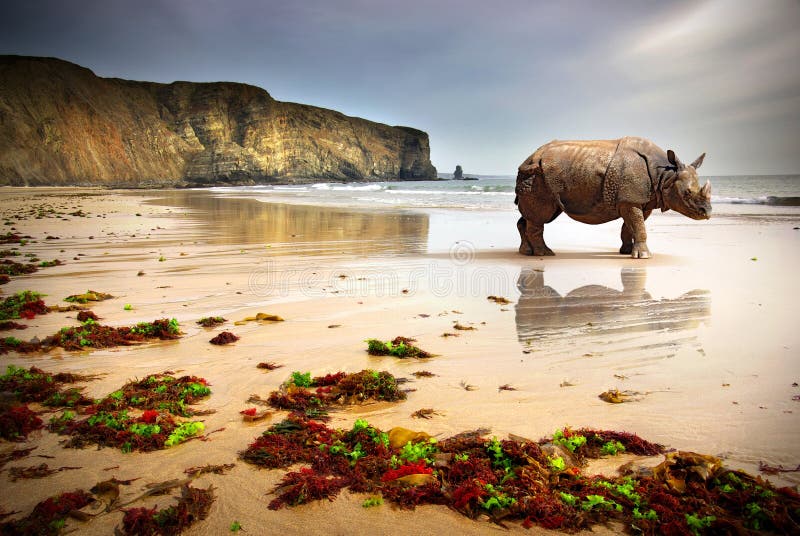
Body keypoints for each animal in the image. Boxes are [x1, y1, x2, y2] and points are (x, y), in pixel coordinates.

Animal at [515, 137, 711, 258]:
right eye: (687, 193)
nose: (707, 212)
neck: (665, 174)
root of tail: (529, 157)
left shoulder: (641, 200)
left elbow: (631, 226)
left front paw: (627, 252)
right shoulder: (630, 199)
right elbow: (638, 225)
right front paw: (644, 257)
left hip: (537, 175)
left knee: (535, 214)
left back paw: (526, 253)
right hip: (537, 175)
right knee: (541, 215)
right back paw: (545, 254)